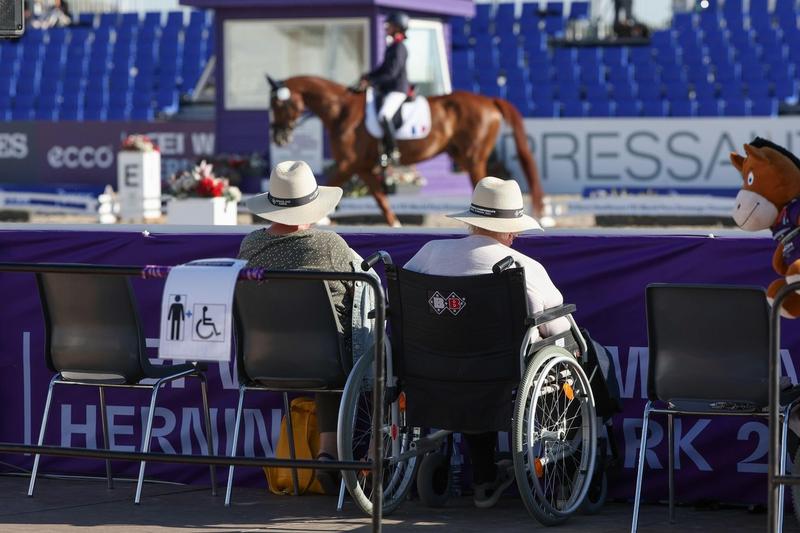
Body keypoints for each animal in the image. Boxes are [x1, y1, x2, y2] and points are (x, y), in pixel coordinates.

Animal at [268, 75, 544, 224]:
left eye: (280, 105)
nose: (279, 138)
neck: (341, 111)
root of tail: (489, 100)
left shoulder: (348, 164)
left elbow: (331, 184)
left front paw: (321, 216)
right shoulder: (363, 168)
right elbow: (381, 199)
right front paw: (396, 224)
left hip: (473, 157)